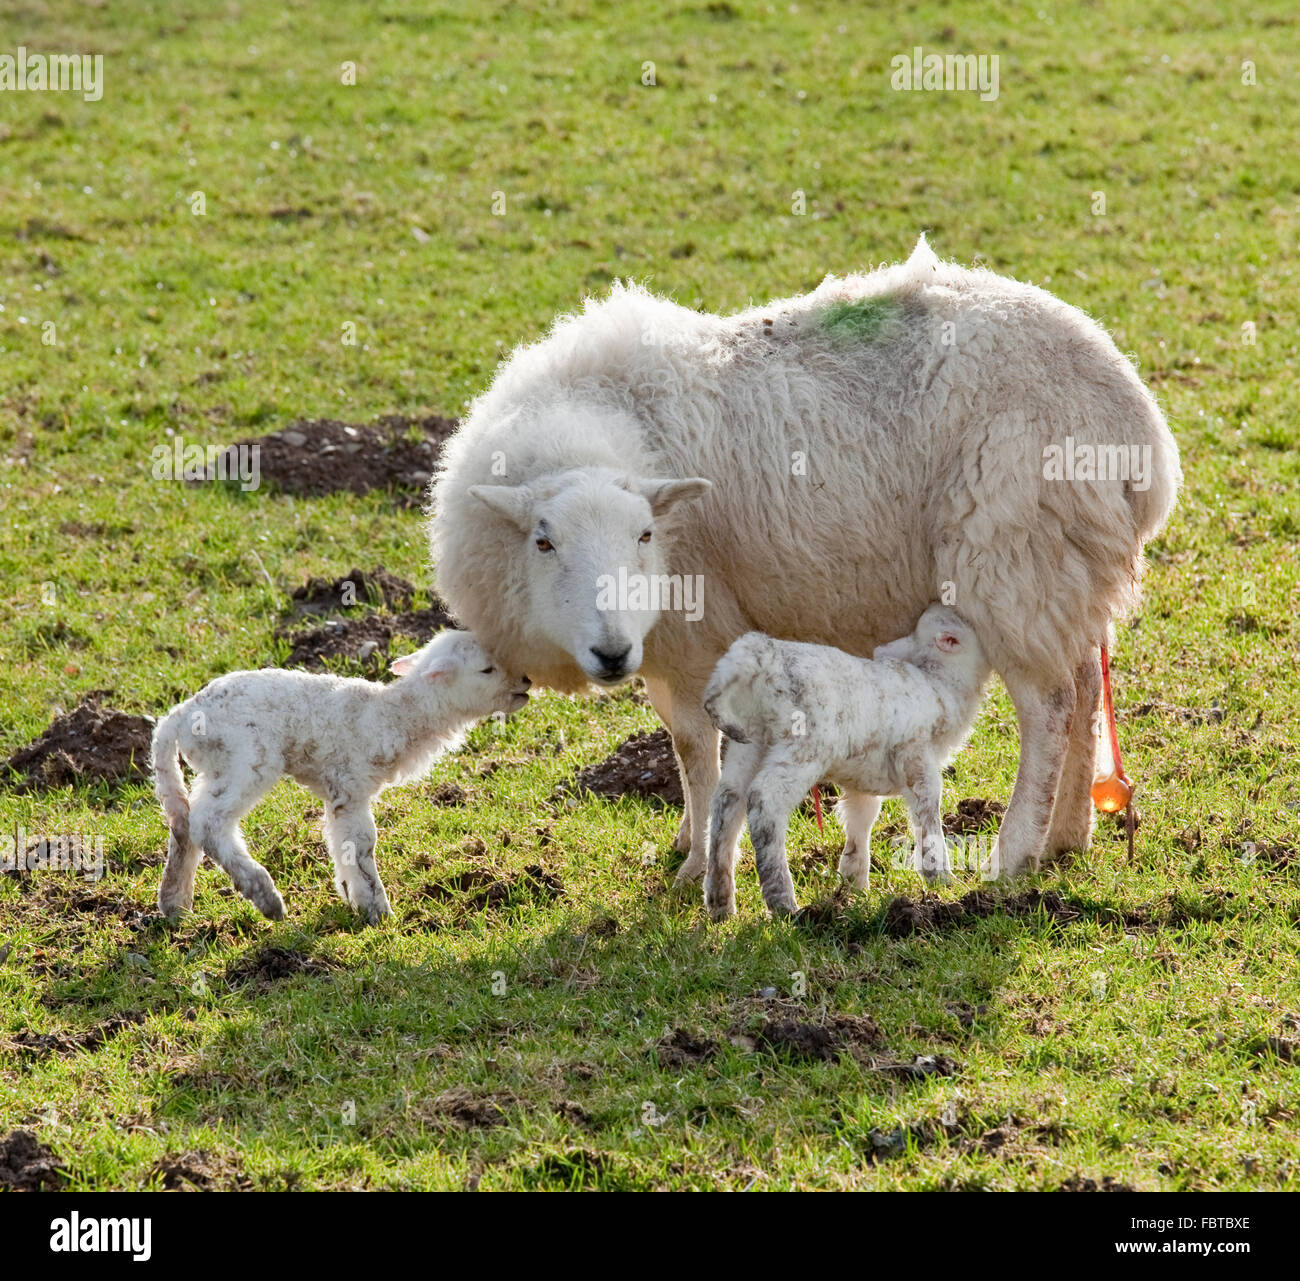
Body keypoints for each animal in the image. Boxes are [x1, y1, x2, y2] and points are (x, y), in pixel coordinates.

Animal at [152, 630, 529, 924]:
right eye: (487, 669)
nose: (526, 681)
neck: (391, 714)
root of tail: (178, 717)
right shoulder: (352, 784)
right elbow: (362, 843)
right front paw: (378, 911)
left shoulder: (338, 792)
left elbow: (341, 843)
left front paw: (355, 898)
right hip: (245, 757)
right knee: (208, 822)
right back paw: (266, 897)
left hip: (216, 766)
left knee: (183, 821)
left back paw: (175, 905)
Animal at [429, 237, 1181, 887]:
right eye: (543, 541)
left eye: (644, 535)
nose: (610, 652)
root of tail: (1139, 427)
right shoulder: (664, 644)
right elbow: (678, 740)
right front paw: (687, 838)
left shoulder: (699, 631)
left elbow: (699, 751)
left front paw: (698, 861)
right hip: (1066, 568)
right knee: (1085, 689)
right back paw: (1068, 837)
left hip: (1013, 557)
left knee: (1050, 707)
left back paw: (1017, 851)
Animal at [701, 605, 990, 920]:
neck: (940, 683)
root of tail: (762, 656)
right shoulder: (915, 755)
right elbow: (928, 811)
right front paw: (939, 876)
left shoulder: (864, 774)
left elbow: (861, 816)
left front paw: (854, 883)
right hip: (805, 745)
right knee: (765, 800)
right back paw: (782, 900)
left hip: (750, 742)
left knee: (727, 802)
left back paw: (720, 900)